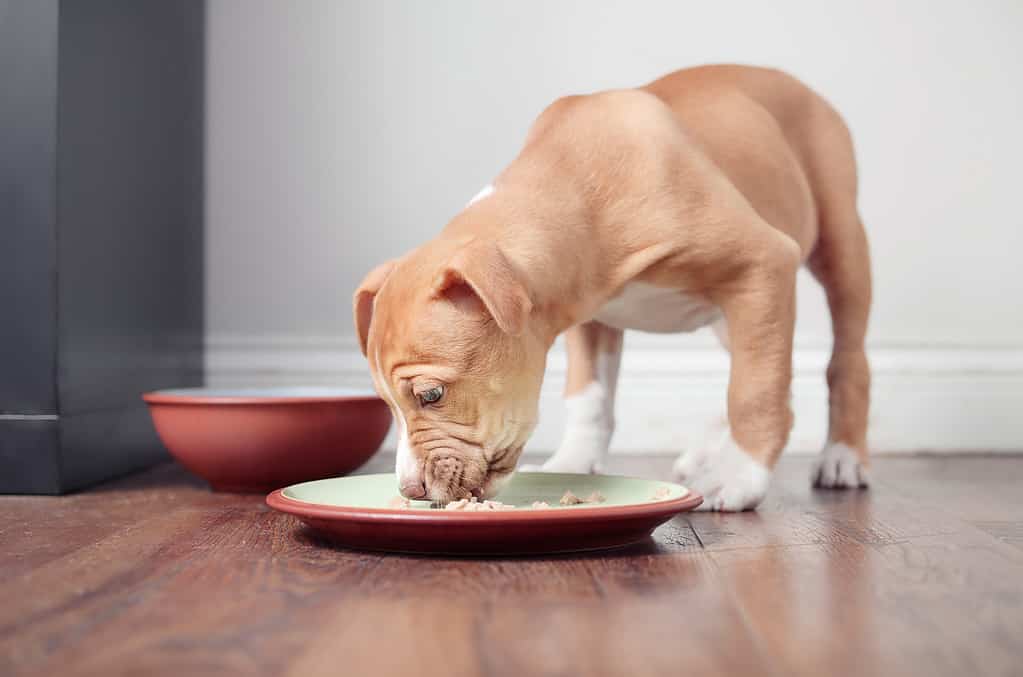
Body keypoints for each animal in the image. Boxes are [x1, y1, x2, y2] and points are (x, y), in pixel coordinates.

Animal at [353, 64, 871, 509]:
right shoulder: (587, 315)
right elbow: (589, 399)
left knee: (840, 362)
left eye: (431, 395)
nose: (412, 491)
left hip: (837, 246)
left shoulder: (763, 262)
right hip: (739, 313)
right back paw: (707, 452)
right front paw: (574, 462)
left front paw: (739, 477)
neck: (571, 182)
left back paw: (840, 456)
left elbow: (754, 393)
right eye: (387, 403)